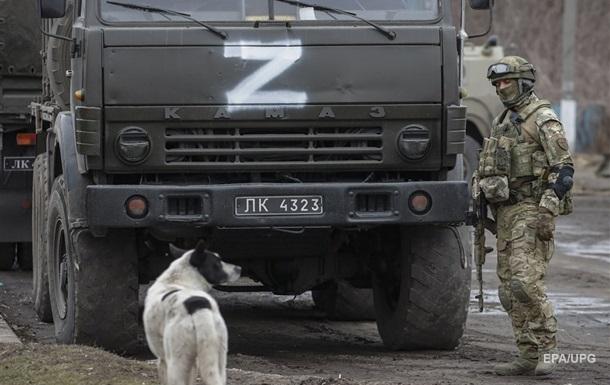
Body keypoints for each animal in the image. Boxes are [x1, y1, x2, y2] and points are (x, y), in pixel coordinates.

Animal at [144, 240, 241, 384]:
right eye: (218, 263)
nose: (240, 268)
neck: (176, 280)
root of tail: (198, 306)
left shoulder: (162, 360)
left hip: (176, 362)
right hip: (219, 359)